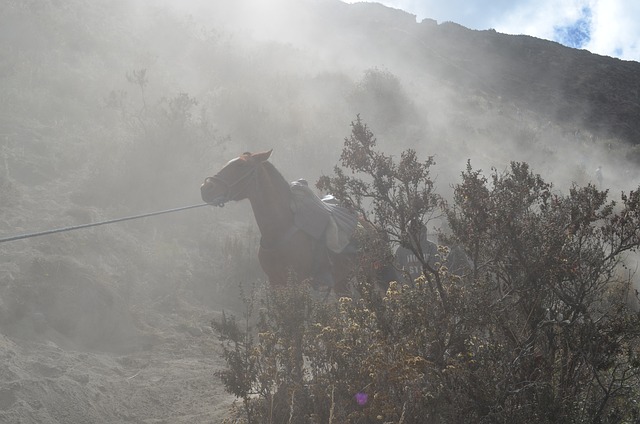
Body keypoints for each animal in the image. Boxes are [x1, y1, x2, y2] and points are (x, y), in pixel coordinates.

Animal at [200, 150, 392, 294]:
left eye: (241, 165)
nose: (206, 188)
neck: (280, 230)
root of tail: (373, 229)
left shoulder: (299, 284)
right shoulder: (275, 282)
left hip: (368, 275)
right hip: (342, 280)